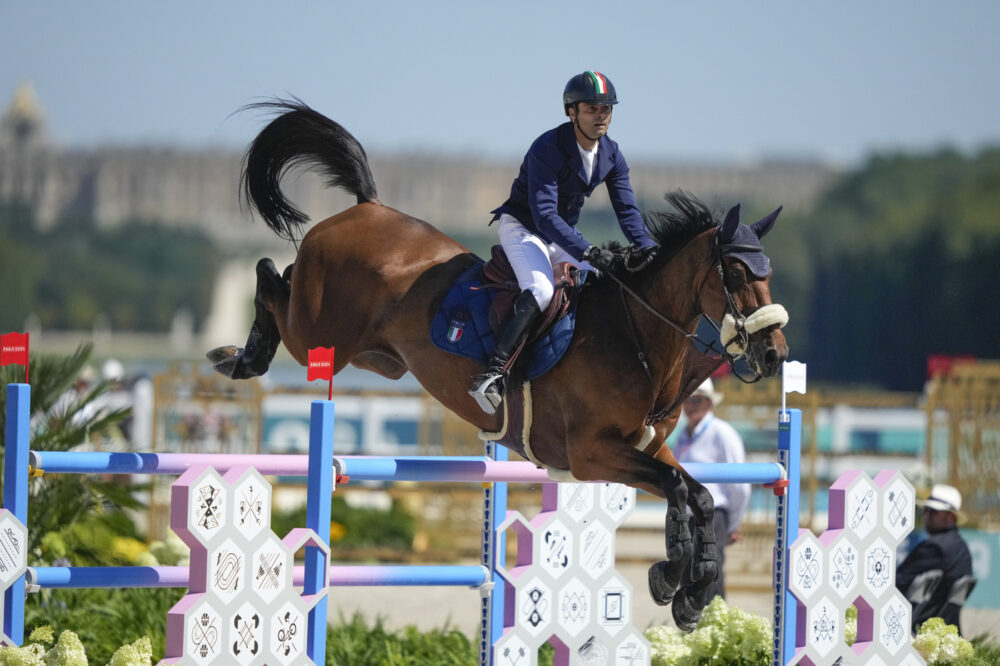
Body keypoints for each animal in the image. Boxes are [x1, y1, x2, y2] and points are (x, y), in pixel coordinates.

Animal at [209, 98, 788, 628]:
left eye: (769, 270)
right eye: (738, 273)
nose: (774, 354)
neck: (636, 336)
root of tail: (368, 207)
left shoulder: (646, 448)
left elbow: (699, 494)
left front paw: (691, 591)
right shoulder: (592, 454)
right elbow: (678, 489)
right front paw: (672, 578)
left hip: (377, 359)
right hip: (317, 335)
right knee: (270, 276)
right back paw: (238, 357)